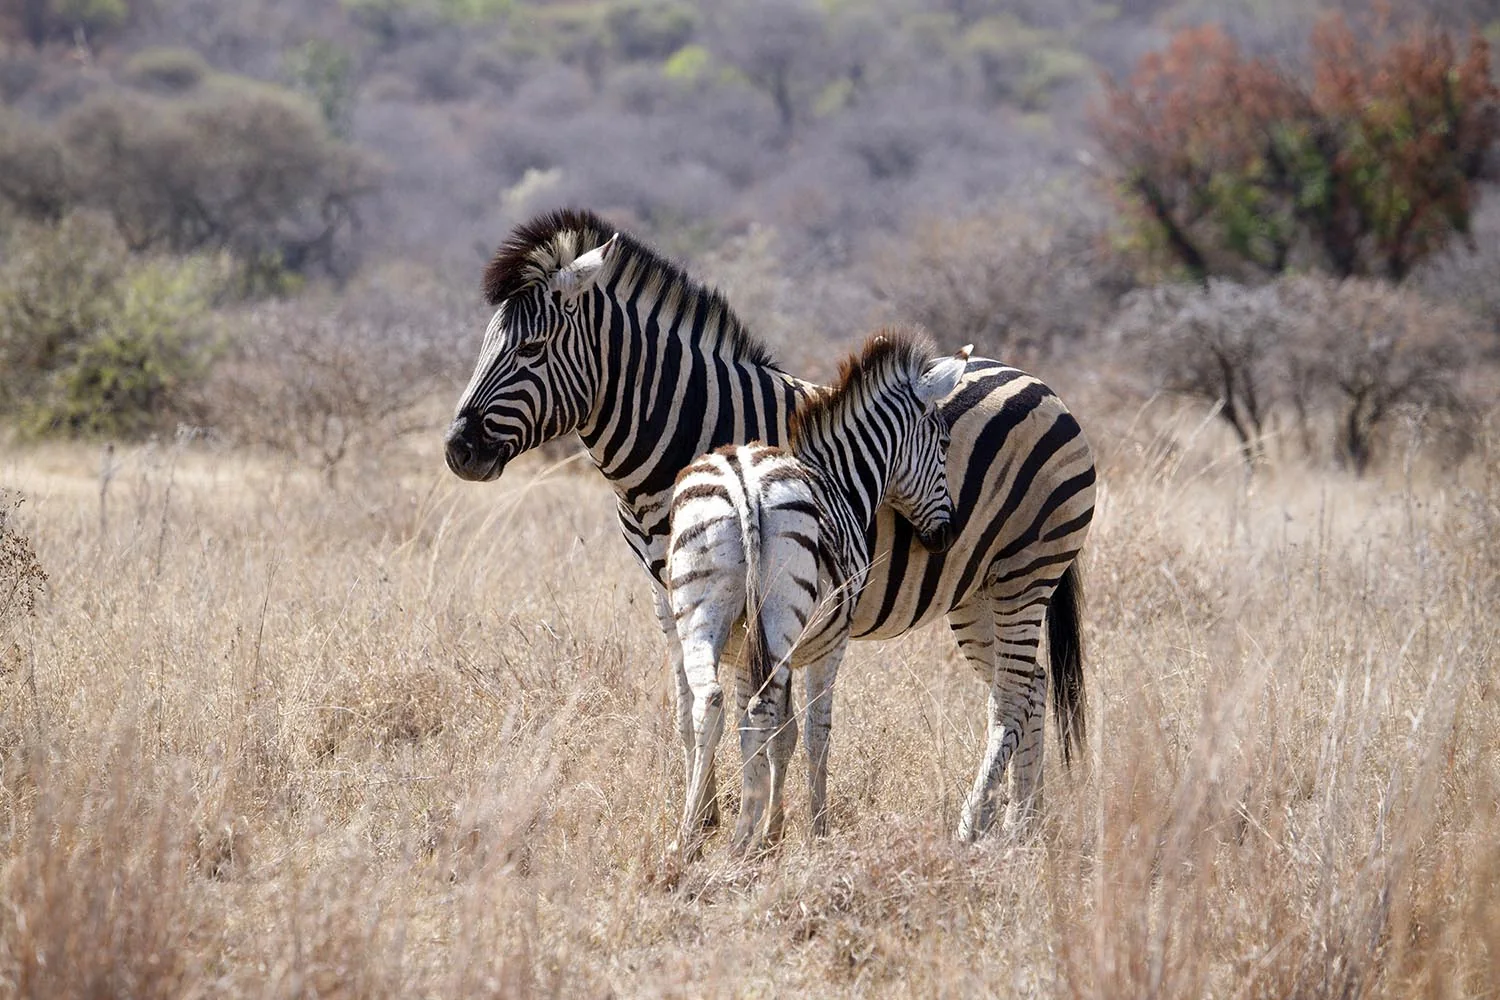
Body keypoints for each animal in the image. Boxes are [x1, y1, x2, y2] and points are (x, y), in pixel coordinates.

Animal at [668, 332, 969, 854]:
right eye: (944, 444)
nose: (945, 537)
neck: (841, 482)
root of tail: (743, 480)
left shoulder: (751, 650)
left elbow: (775, 734)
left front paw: (772, 830)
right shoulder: (829, 644)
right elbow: (814, 732)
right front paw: (814, 829)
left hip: (704, 612)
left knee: (714, 704)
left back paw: (690, 838)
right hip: (779, 621)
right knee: (759, 710)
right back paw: (741, 837)